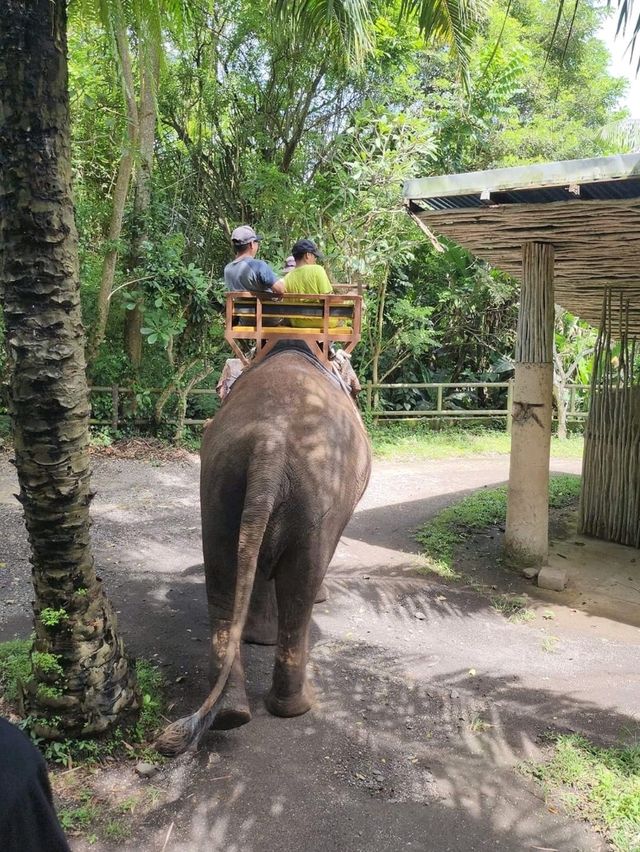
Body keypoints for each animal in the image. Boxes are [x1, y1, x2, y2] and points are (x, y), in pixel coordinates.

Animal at [154, 344, 370, 752]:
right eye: (354, 384)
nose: (358, 388)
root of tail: (269, 442)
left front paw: (257, 637)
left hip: (220, 484)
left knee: (223, 577)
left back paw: (230, 712)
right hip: (317, 493)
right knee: (301, 586)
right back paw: (297, 707)